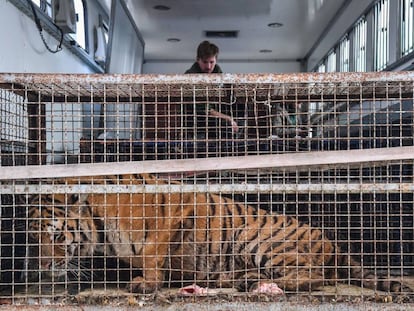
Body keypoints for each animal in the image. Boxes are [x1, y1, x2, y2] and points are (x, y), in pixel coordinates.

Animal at [26, 174, 410, 296]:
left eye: (56, 238)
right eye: (35, 240)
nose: (43, 267)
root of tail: (332, 242)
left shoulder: (178, 208)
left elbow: (151, 252)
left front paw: (146, 283)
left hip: (255, 237)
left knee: (312, 277)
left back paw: (256, 283)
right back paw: (239, 279)